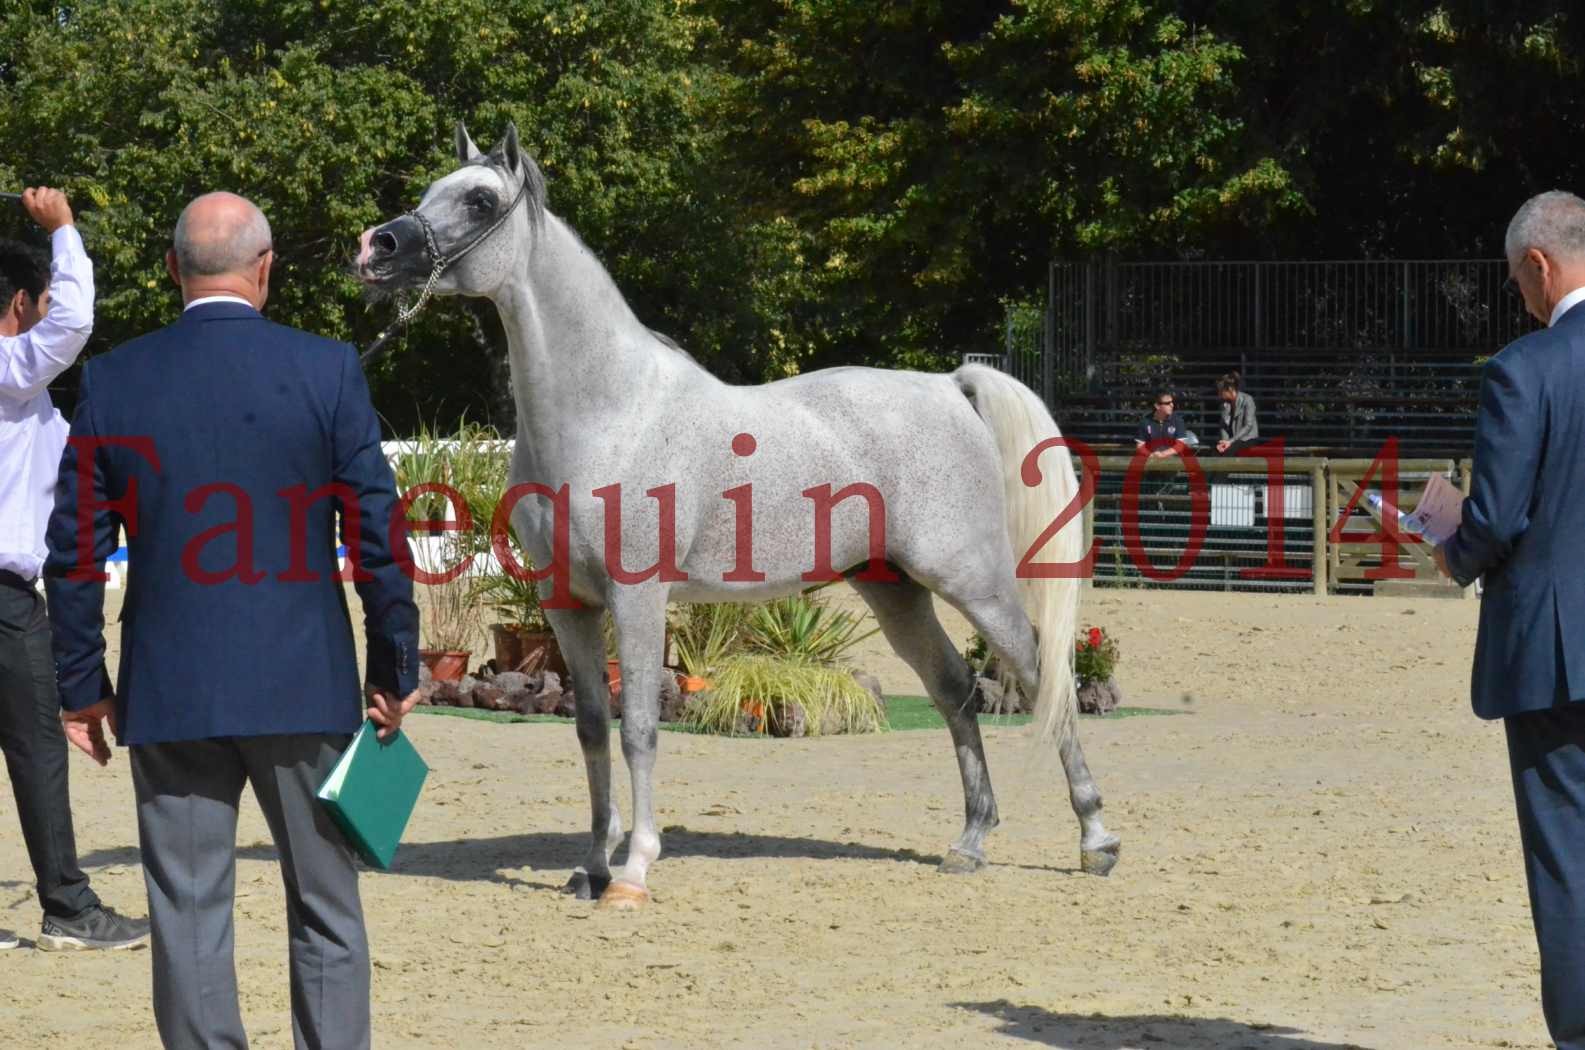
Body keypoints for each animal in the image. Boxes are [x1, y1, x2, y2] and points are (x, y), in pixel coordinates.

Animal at [359, 123, 1122, 913]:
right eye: (430, 190)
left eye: (479, 200)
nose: (376, 248)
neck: (610, 411)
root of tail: (949, 385)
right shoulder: (566, 604)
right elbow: (592, 729)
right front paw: (591, 867)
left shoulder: (637, 599)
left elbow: (638, 729)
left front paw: (633, 871)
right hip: (894, 588)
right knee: (954, 689)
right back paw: (969, 843)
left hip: (971, 580)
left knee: (1040, 673)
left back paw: (1095, 840)